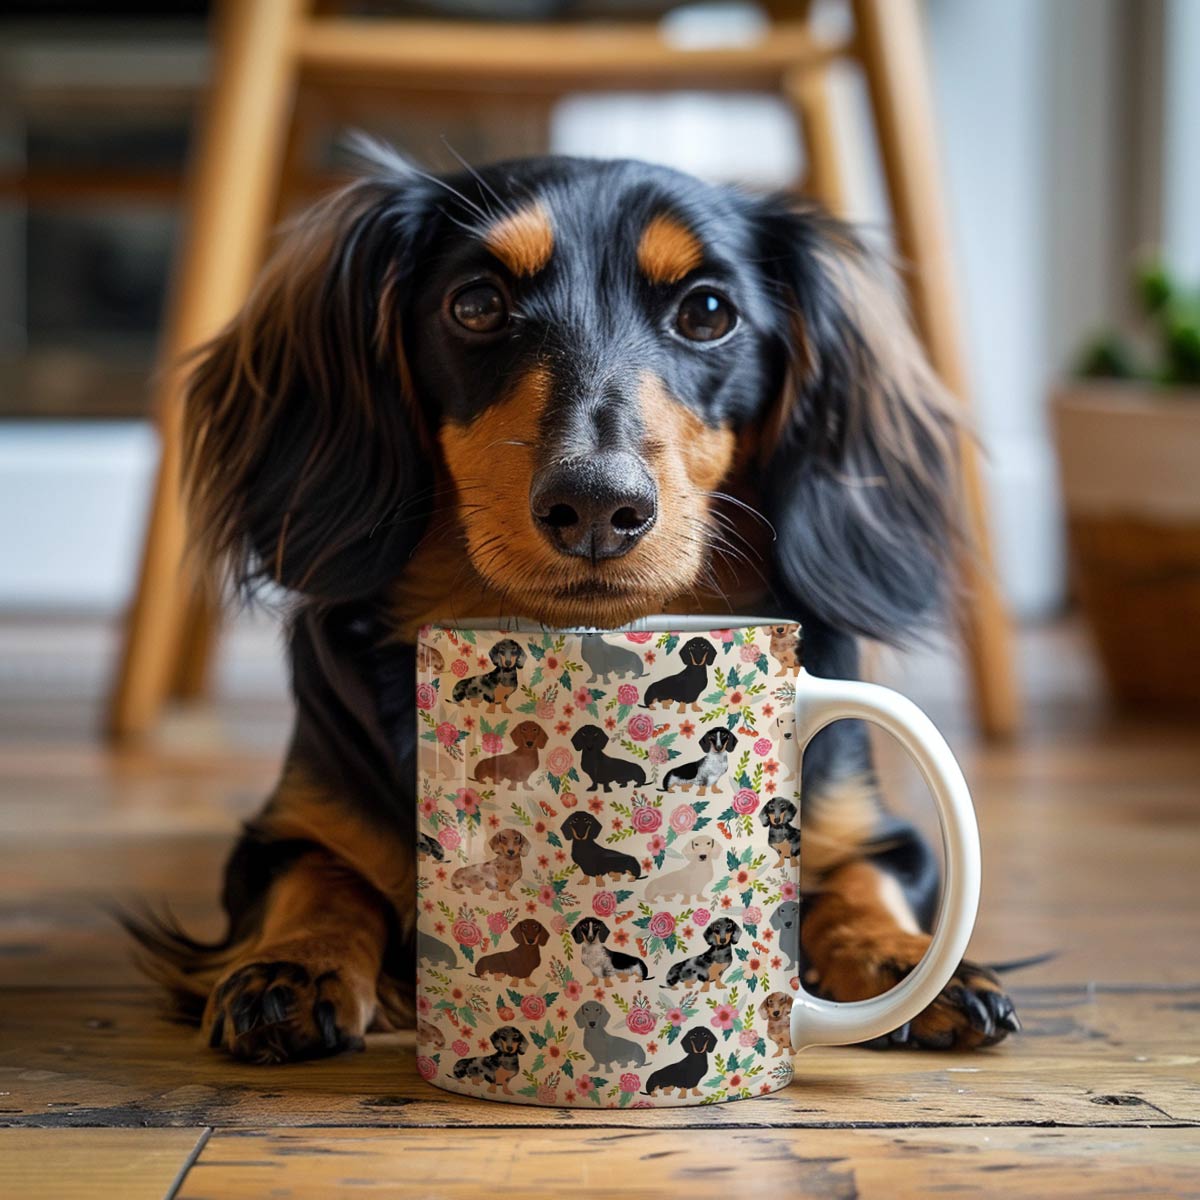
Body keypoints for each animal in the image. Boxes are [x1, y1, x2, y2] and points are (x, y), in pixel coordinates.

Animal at [121, 147, 1017, 1060]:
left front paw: (903, 958)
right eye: (477, 303)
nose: (595, 504)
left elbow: (864, 874)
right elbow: (320, 872)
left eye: (707, 311)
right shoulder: (292, 824)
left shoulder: (867, 825)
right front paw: (293, 967)